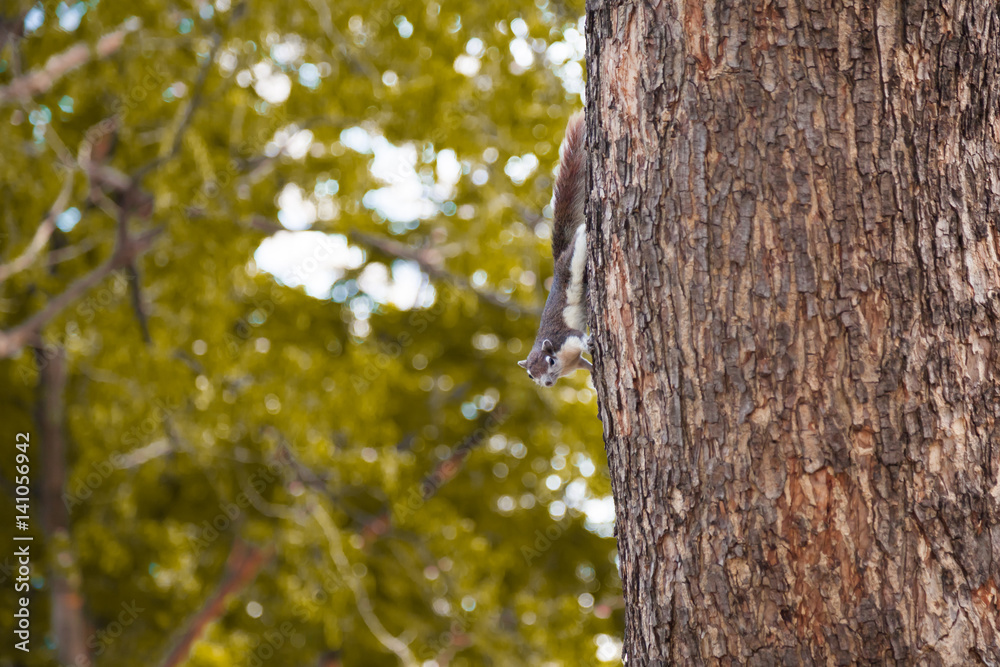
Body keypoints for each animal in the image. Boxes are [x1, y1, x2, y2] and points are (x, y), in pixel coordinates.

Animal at [518, 111, 592, 387]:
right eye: (530, 375)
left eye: (549, 361)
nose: (547, 383)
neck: (564, 363)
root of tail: (559, 259)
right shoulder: (576, 363)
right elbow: (588, 365)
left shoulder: (567, 338)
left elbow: (580, 338)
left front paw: (591, 342)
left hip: (574, 257)